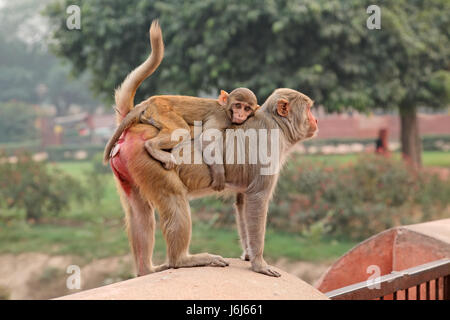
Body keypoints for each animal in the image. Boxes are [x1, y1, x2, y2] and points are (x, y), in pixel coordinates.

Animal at [104, 87, 258, 190]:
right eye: (238, 105)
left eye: (247, 108)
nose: (240, 115)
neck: (226, 108)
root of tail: (150, 101)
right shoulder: (221, 117)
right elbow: (207, 138)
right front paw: (219, 174)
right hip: (162, 111)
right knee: (183, 130)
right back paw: (152, 147)